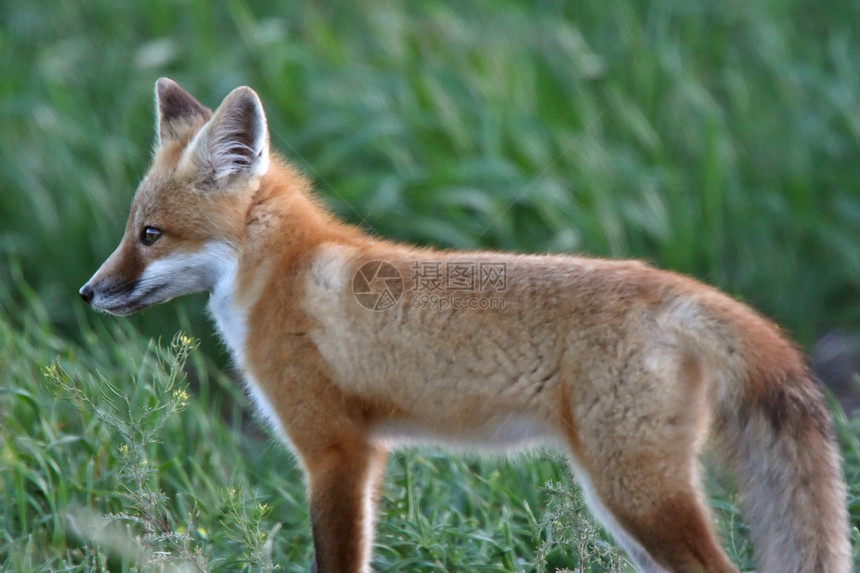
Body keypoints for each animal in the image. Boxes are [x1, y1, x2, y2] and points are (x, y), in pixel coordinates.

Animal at [79, 77, 848, 572]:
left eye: (150, 234)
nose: (89, 292)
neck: (286, 272)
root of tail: (673, 287)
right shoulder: (358, 455)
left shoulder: (337, 452)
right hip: (627, 503)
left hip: (637, 494)